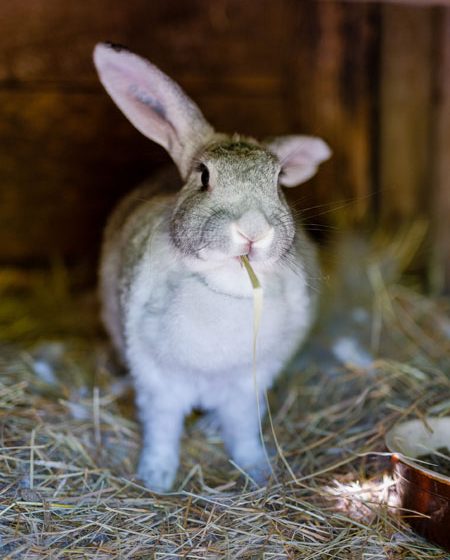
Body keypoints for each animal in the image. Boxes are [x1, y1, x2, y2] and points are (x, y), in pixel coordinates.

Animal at [92, 42, 330, 490]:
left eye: (278, 181)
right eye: (203, 176)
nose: (253, 231)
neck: (227, 286)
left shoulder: (248, 386)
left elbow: (243, 431)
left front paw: (258, 472)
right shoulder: (157, 381)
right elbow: (162, 429)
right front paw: (156, 477)